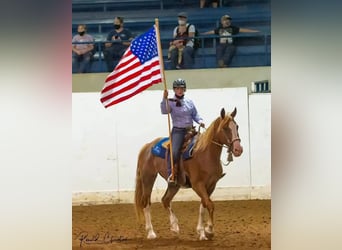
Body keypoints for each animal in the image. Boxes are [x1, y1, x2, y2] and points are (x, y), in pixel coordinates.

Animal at [134, 107, 243, 240]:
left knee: (165, 200)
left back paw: (175, 227)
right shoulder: (198, 185)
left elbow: (204, 205)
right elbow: (210, 204)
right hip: (148, 178)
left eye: (236, 126)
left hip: (174, 184)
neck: (205, 154)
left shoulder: (211, 185)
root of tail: (147, 146)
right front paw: (209, 230)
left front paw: (202, 232)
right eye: (225, 128)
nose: (238, 149)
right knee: (146, 202)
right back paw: (151, 232)